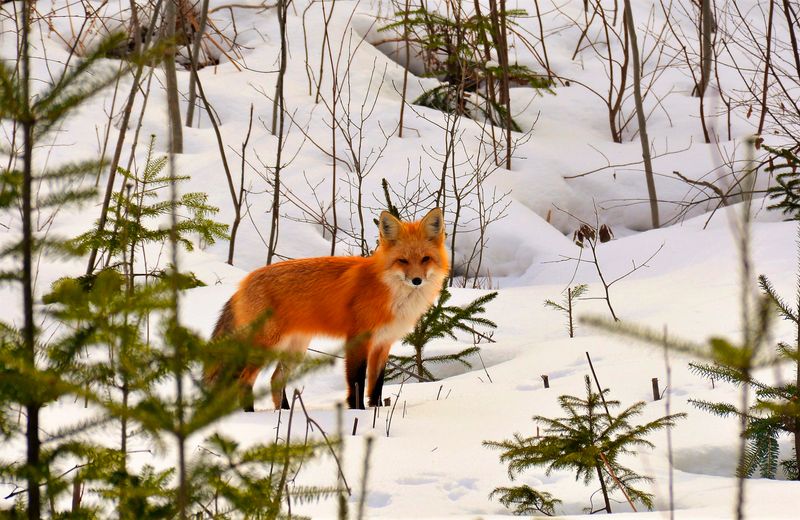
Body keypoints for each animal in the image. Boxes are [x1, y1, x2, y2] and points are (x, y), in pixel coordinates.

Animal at [209, 208, 449, 410]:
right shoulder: (358, 339)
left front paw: (377, 410)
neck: (390, 291)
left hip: (295, 350)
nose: (417, 280)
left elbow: (376, 385)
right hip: (267, 345)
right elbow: (356, 380)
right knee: (244, 380)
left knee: (275, 379)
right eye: (402, 261)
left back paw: (284, 413)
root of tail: (244, 282)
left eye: (425, 259)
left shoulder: (383, 343)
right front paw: (357, 412)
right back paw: (250, 413)